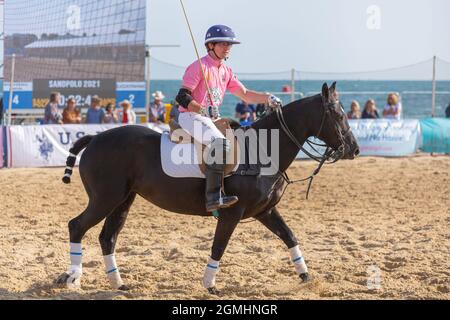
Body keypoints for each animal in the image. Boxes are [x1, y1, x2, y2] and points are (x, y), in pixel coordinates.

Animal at [55, 83, 358, 296]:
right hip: (105, 198)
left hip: (123, 201)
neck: (263, 149)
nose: (354, 149)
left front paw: (307, 277)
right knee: (77, 226)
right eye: (338, 114)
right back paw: (72, 277)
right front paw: (210, 284)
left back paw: (118, 284)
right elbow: (219, 246)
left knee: (107, 237)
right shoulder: (232, 211)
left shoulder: (265, 211)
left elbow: (290, 237)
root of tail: (94, 138)